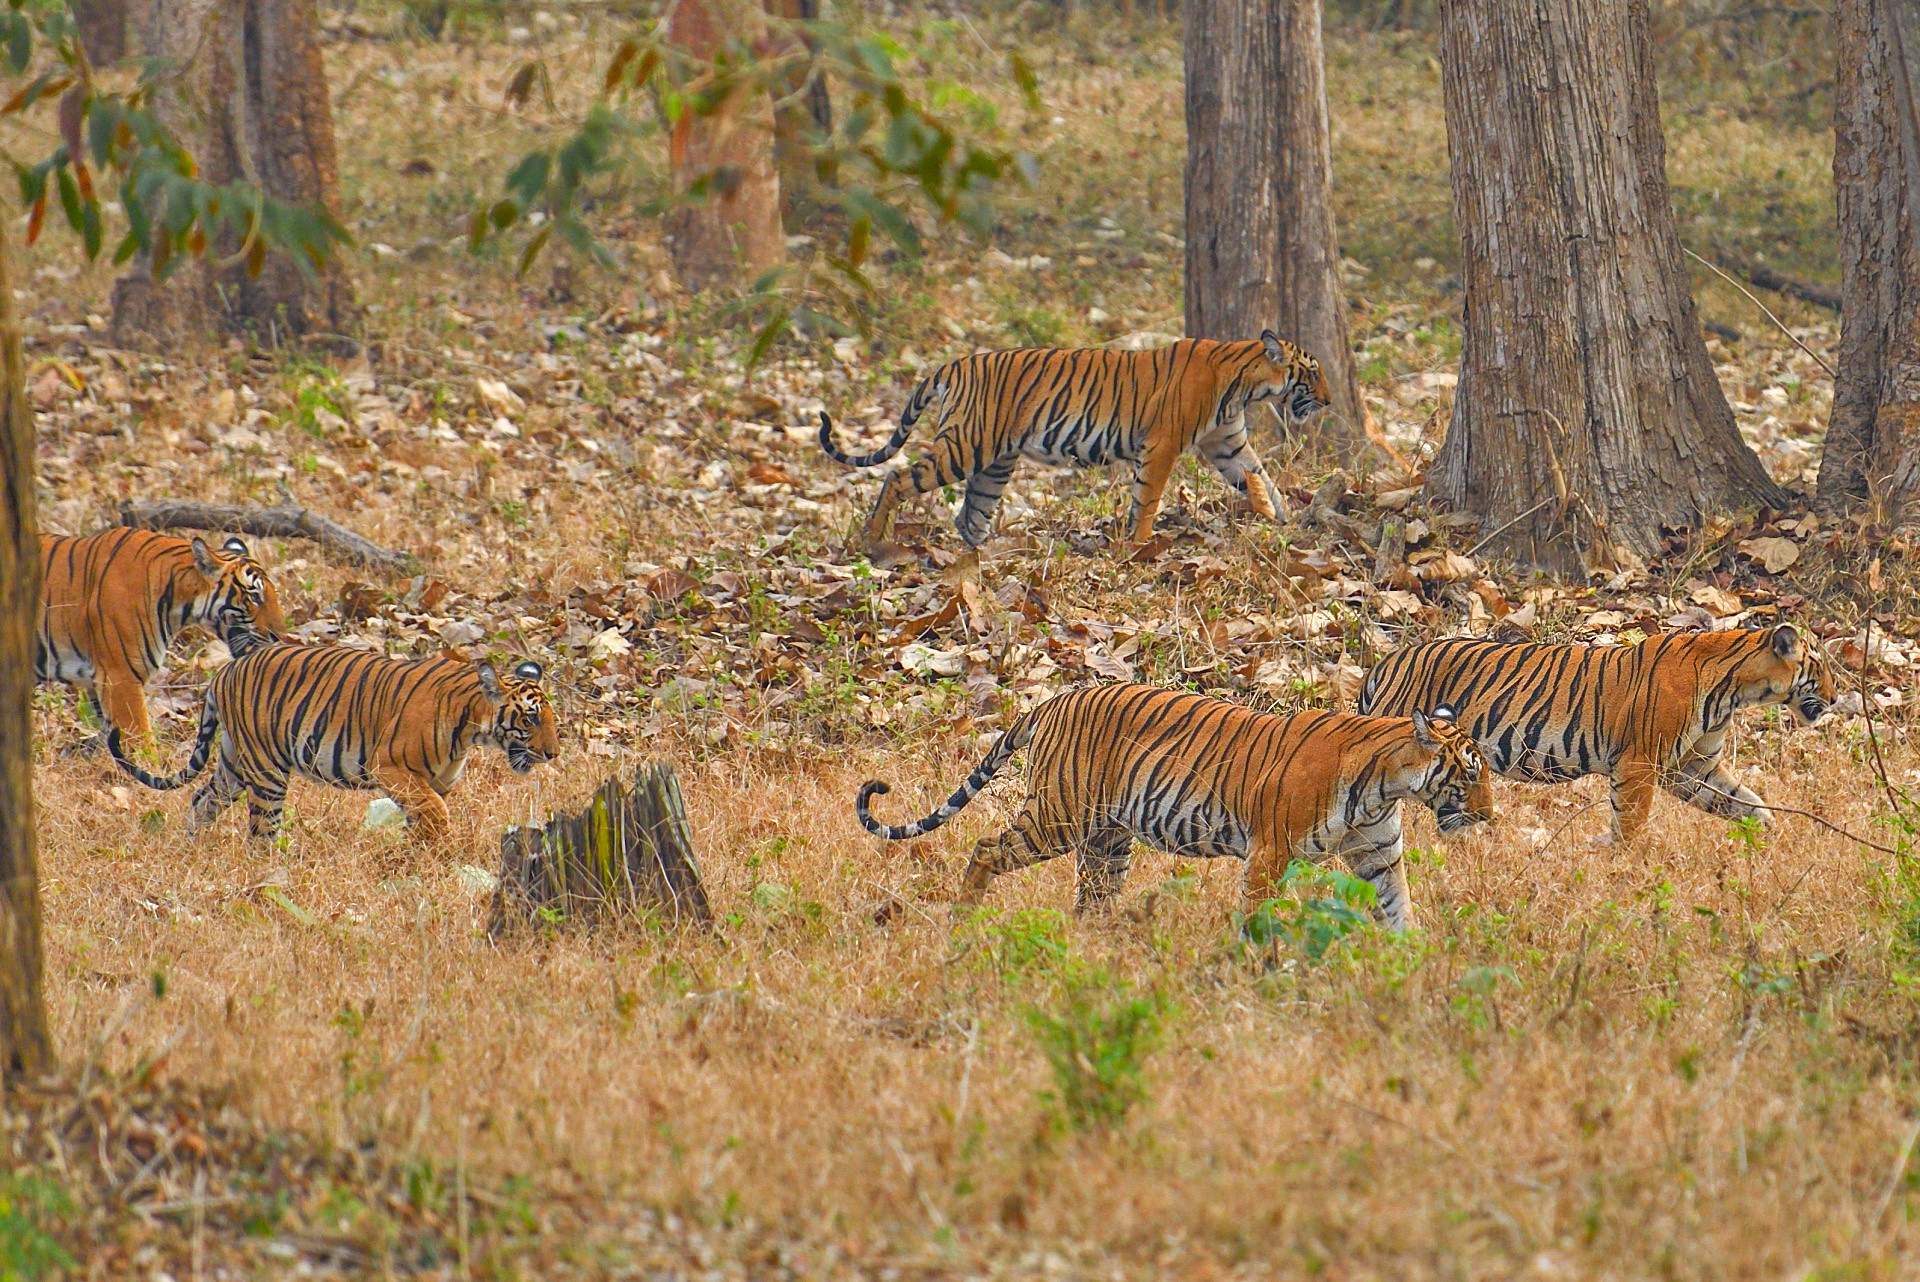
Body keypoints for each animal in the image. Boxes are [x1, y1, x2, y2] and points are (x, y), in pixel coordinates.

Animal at [107, 644, 560, 844]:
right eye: (531, 718)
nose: (553, 753)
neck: (470, 728)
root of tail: (225, 671)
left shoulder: (434, 782)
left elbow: (423, 817)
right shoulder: (393, 768)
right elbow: (435, 814)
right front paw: (439, 853)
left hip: (235, 764)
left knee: (202, 799)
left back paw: (194, 846)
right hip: (267, 772)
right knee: (261, 831)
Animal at [817, 332, 1333, 552]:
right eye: (1311, 374)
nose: (1329, 401)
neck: (1244, 385)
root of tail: (955, 363)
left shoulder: (1227, 444)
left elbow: (1264, 479)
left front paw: (1287, 523)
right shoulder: (1163, 444)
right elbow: (1148, 498)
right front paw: (1140, 548)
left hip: (995, 462)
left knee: (971, 514)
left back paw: (985, 557)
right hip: (966, 445)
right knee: (897, 477)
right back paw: (872, 539)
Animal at [855, 683, 1490, 927]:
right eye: (1470, 773)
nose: (1489, 816)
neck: (1385, 786)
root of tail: (1050, 701)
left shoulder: (1380, 854)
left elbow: (1400, 908)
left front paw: (1411, 964)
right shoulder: (1270, 853)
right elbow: (1256, 916)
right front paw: (1255, 969)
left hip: (1106, 841)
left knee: (1090, 901)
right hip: (1056, 818)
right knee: (986, 847)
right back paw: (961, 923)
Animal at [1355, 624, 1836, 846]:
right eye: (1822, 669)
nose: (1836, 697)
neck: (1735, 689)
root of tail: (1388, 661)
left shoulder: (1693, 766)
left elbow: (1744, 801)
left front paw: (1773, 836)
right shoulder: (1641, 762)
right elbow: (1631, 820)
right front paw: (1621, 863)